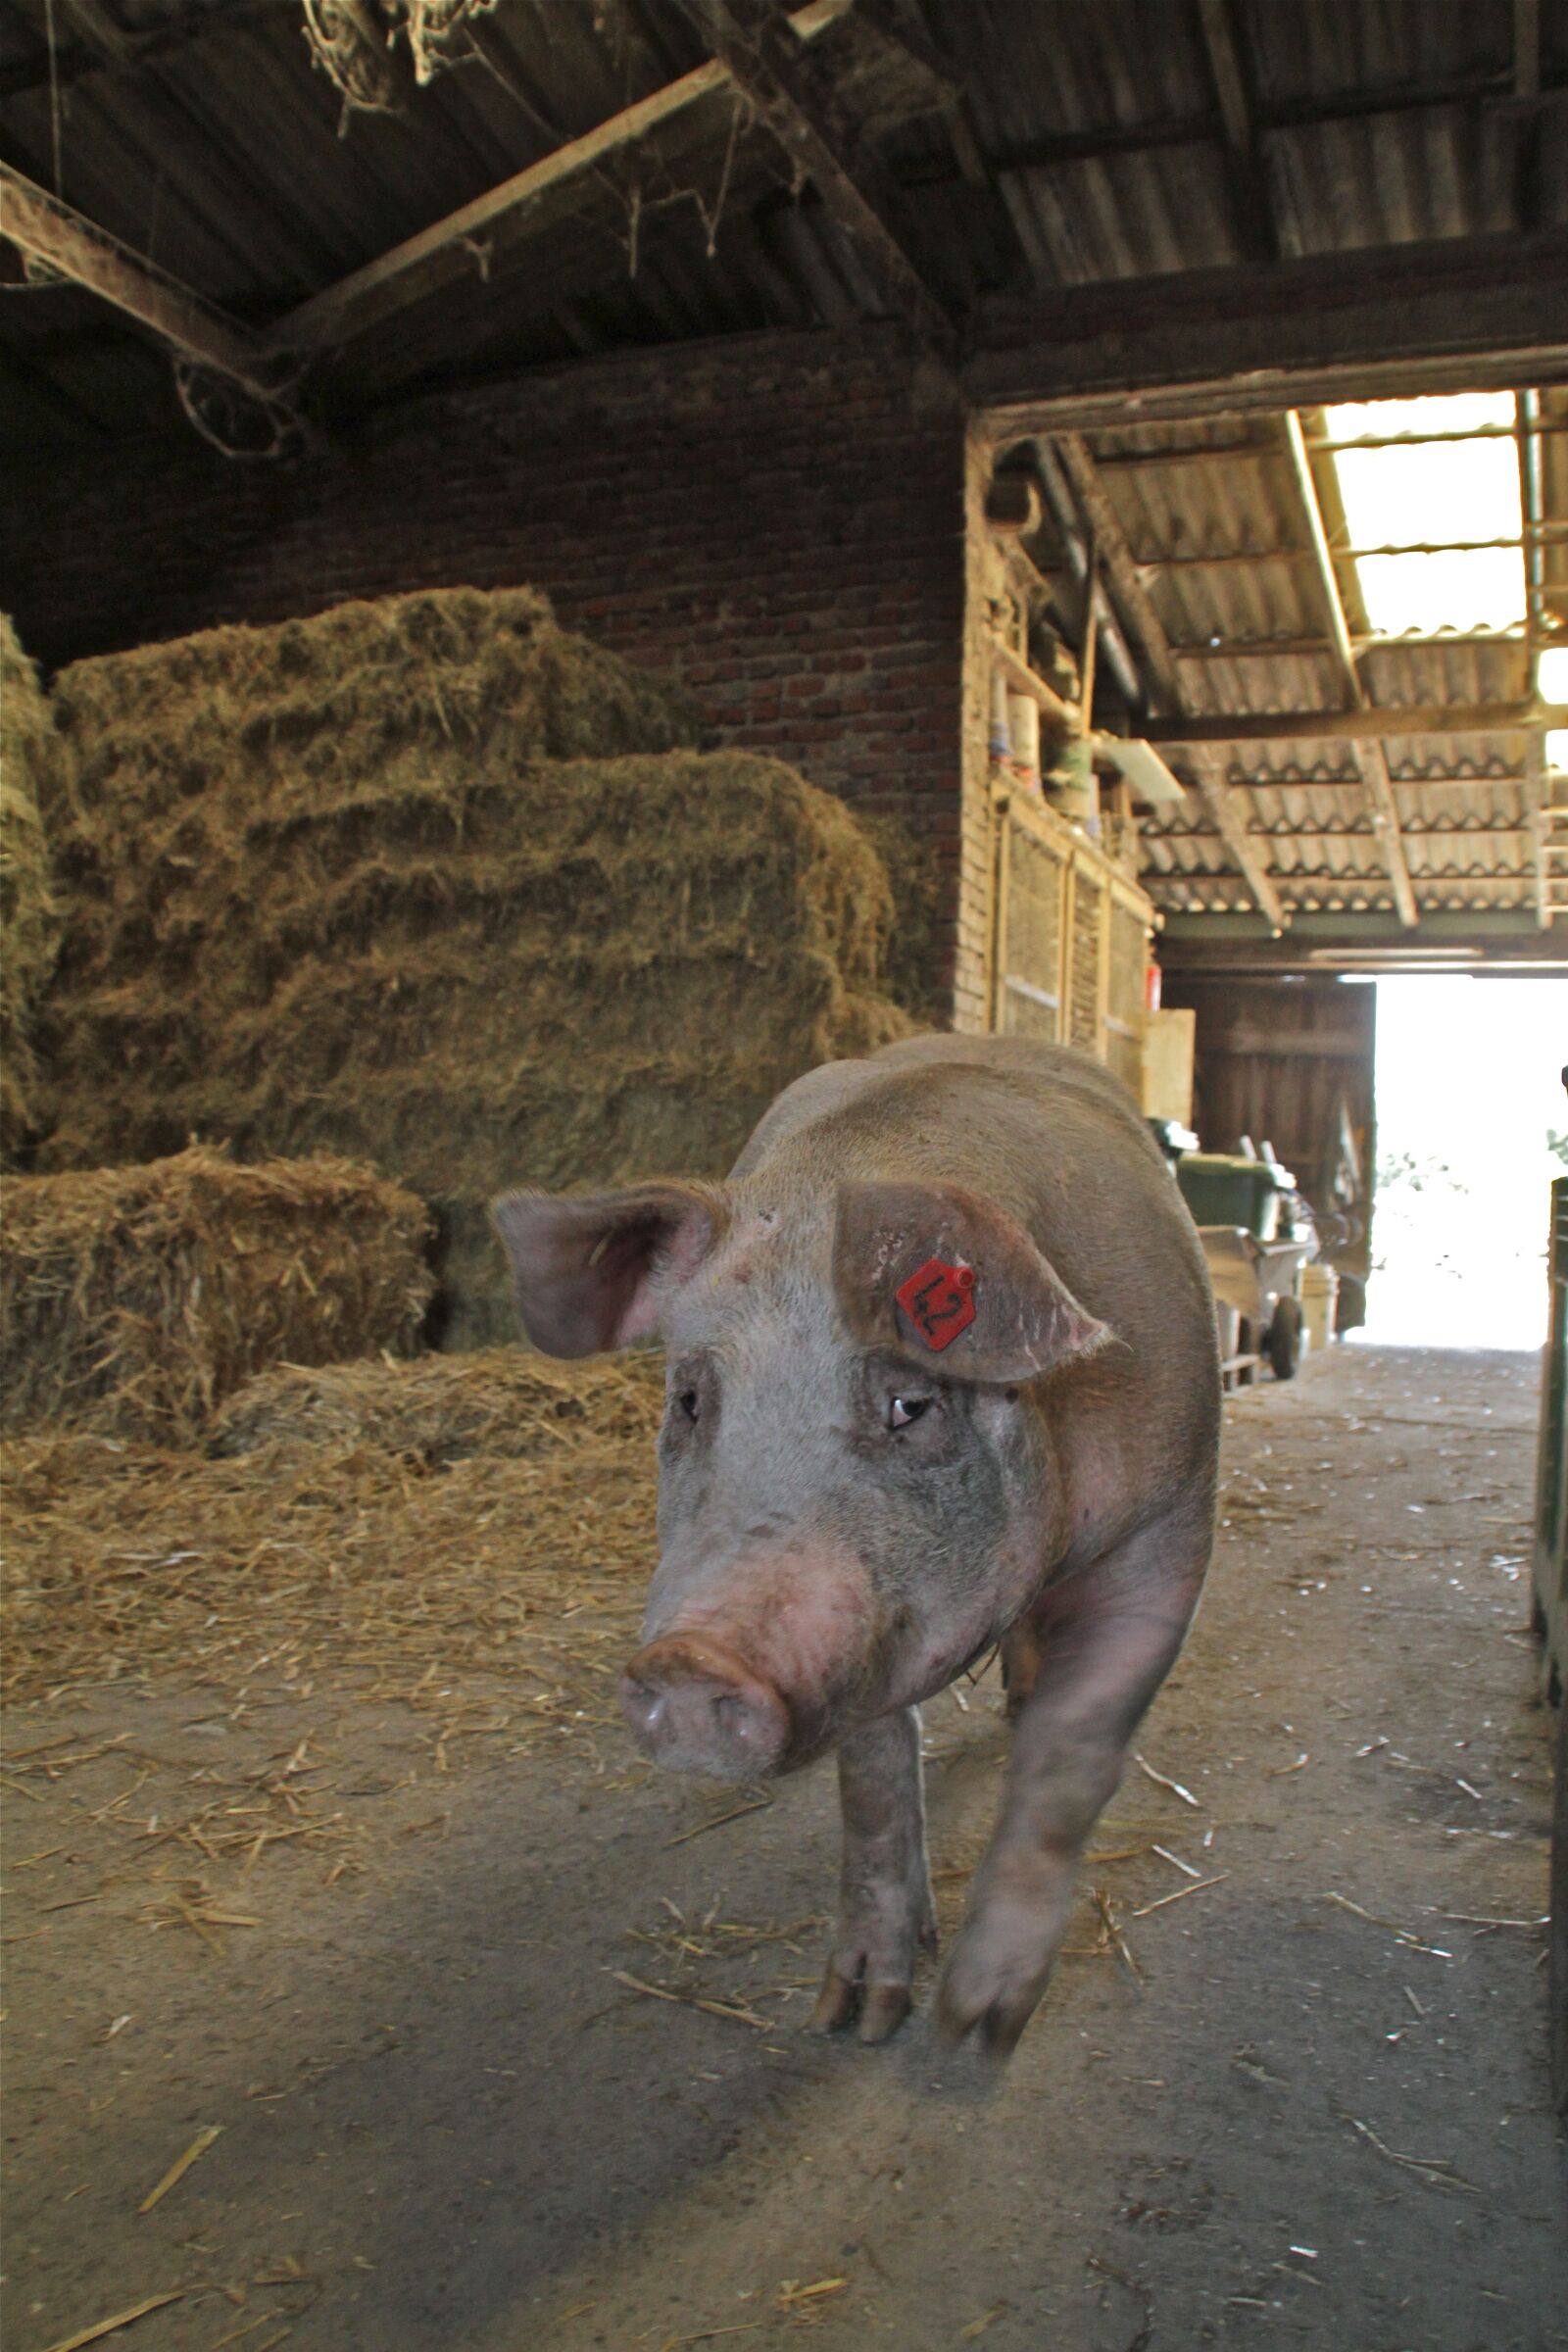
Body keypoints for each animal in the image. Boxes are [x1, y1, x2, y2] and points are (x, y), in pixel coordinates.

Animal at [492, 1035, 1219, 2056]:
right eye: (690, 1399)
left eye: (910, 1403)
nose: (691, 1660)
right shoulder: (866, 1626)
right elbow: (874, 1776)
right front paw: (860, 2019)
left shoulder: (1172, 1516)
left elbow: (1072, 1754)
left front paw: (978, 2027)